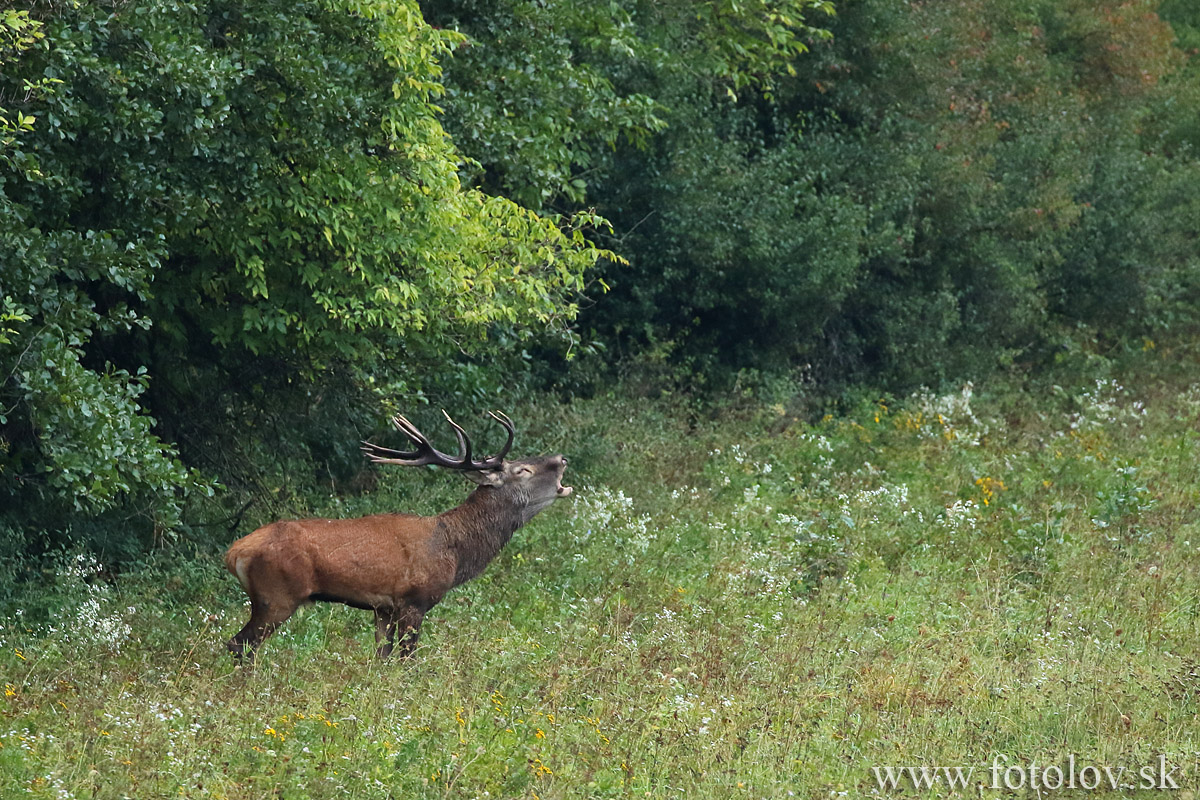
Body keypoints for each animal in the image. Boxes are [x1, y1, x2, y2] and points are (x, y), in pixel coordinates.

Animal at [224, 410, 571, 662]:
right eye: (523, 470)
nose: (562, 458)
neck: (455, 551)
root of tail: (234, 552)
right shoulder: (413, 600)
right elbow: (408, 660)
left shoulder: (384, 608)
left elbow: (382, 657)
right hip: (276, 595)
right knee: (239, 644)